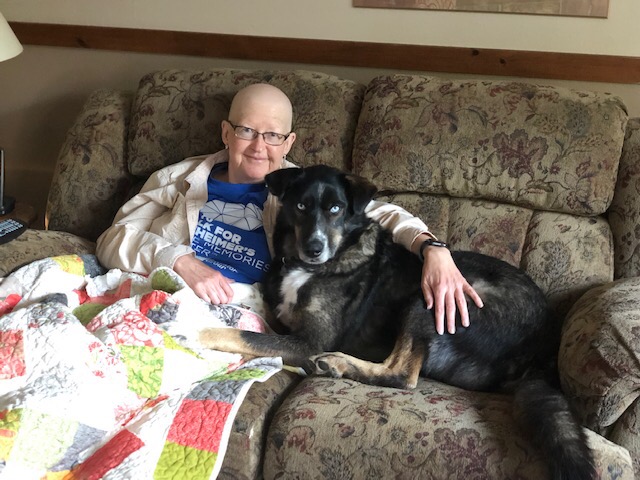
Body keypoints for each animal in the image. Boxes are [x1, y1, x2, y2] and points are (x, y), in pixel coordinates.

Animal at [200, 165, 596, 480]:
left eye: (335, 209)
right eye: (300, 206)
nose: (314, 248)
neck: (317, 264)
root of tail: (543, 348)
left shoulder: (311, 340)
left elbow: (243, 335)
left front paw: (200, 332)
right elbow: (255, 327)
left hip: (432, 297)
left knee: (403, 374)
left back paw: (338, 363)